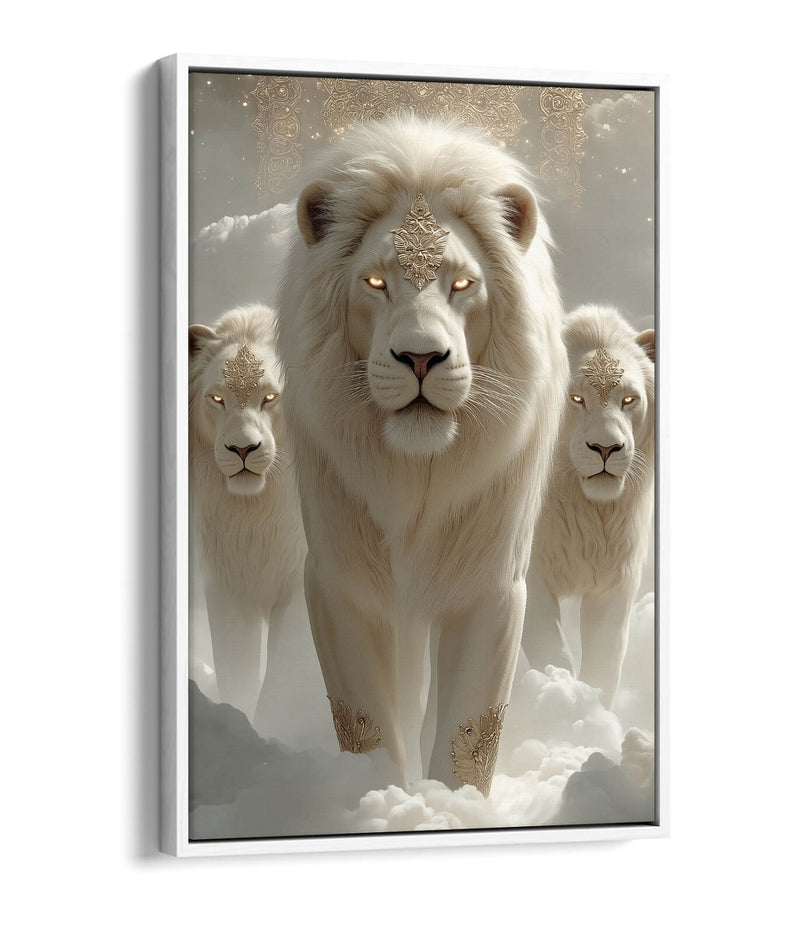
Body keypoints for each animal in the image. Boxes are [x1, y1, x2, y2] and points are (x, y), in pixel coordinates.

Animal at [189, 304, 307, 727]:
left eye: (270, 397)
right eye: (217, 398)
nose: (242, 449)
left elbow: (285, 672)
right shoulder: (228, 585)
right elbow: (236, 671)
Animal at [277, 116, 568, 794]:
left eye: (462, 283)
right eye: (376, 282)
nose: (419, 357)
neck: (415, 476)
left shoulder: (490, 584)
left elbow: (469, 730)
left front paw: (450, 805)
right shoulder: (338, 582)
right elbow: (365, 721)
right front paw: (377, 797)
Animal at [521, 304, 656, 706]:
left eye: (629, 399)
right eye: (576, 399)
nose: (606, 448)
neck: (588, 511)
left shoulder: (616, 580)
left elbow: (605, 660)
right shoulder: (528, 572)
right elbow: (549, 645)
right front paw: (559, 690)